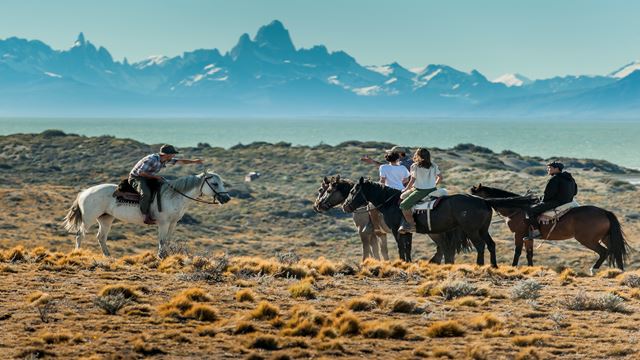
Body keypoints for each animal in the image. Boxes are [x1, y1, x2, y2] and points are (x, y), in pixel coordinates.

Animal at [62, 171, 230, 258]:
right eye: (214, 184)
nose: (227, 198)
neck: (174, 195)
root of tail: (84, 192)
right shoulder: (163, 223)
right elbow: (162, 240)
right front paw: (160, 257)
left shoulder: (173, 223)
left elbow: (168, 240)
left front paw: (167, 256)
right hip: (88, 219)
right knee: (80, 235)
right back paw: (77, 253)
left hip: (105, 219)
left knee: (101, 237)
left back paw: (108, 256)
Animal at [470, 184, 632, 274]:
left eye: (473, 194)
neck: (517, 208)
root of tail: (604, 212)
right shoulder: (528, 237)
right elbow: (529, 253)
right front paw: (530, 269)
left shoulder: (519, 234)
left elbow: (517, 251)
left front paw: (514, 267)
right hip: (606, 237)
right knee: (615, 251)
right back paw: (619, 271)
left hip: (588, 240)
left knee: (604, 252)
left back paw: (594, 269)